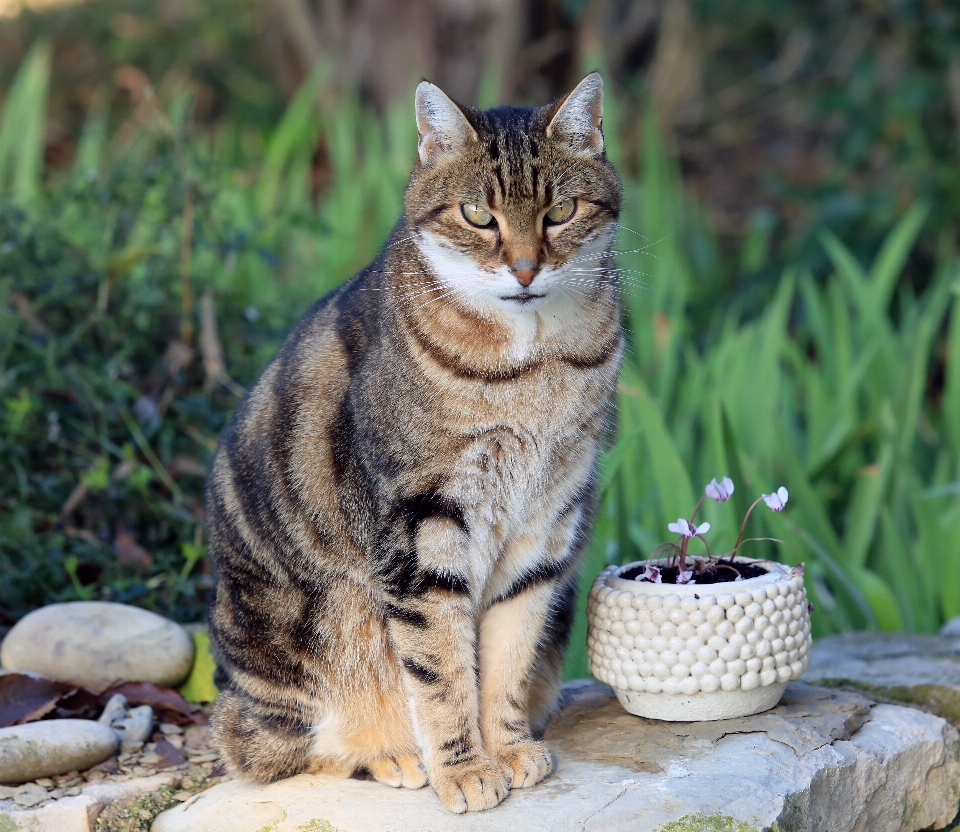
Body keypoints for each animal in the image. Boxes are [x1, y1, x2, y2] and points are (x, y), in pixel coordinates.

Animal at [206, 71, 624, 812]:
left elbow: (509, 656)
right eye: (479, 215)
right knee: (264, 748)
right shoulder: (421, 527)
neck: (533, 365)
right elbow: (441, 669)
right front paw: (463, 769)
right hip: (312, 637)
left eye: (562, 210)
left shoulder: (547, 522)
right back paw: (395, 756)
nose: (524, 269)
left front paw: (507, 748)